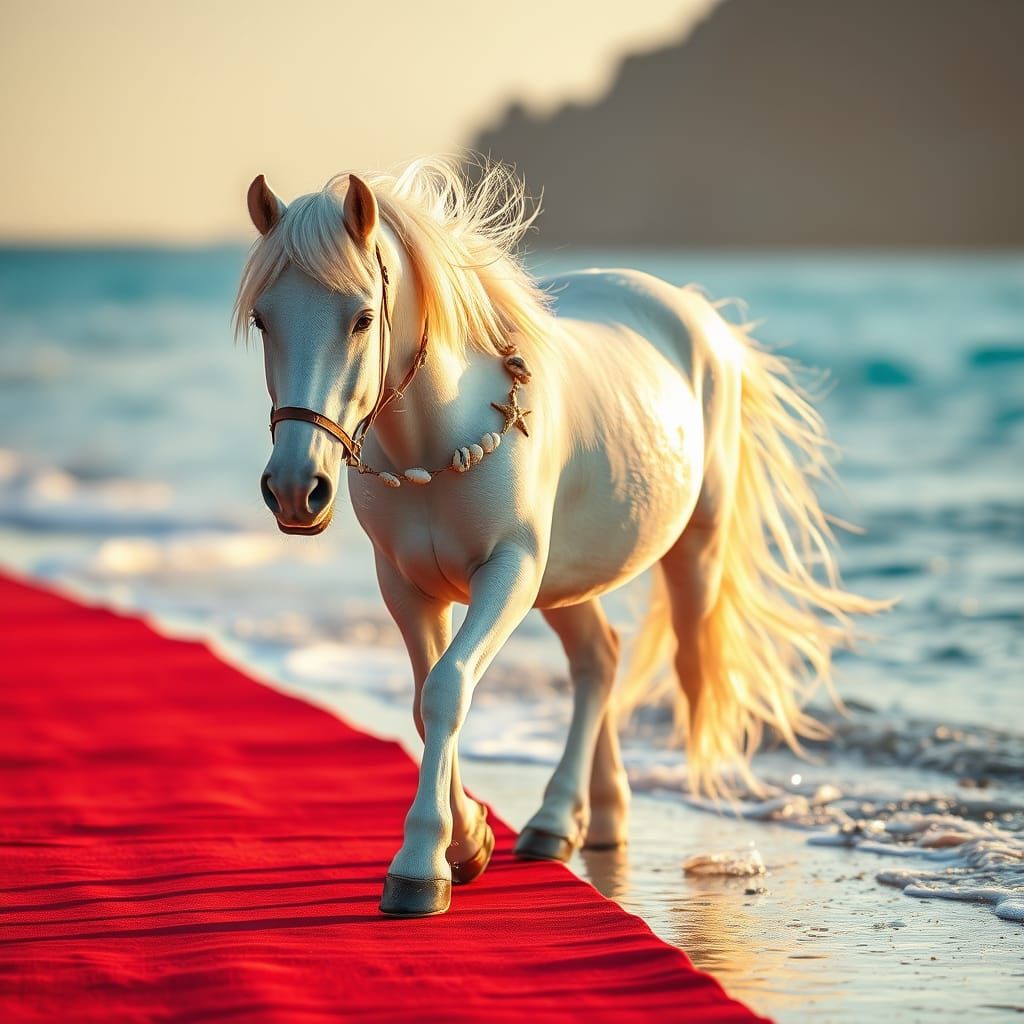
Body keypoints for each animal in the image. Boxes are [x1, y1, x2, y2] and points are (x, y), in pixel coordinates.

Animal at [234, 158, 880, 918]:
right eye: (262, 318)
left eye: (363, 317)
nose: (295, 488)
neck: (439, 437)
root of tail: (697, 315)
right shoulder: (405, 585)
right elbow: (426, 703)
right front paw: (469, 841)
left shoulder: (509, 572)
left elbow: (447, 690)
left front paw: (422, 866)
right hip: (566, 580)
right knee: (599, 658)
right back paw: (575, 820)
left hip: (685, 555)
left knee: (634, 654)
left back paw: (564, 817)